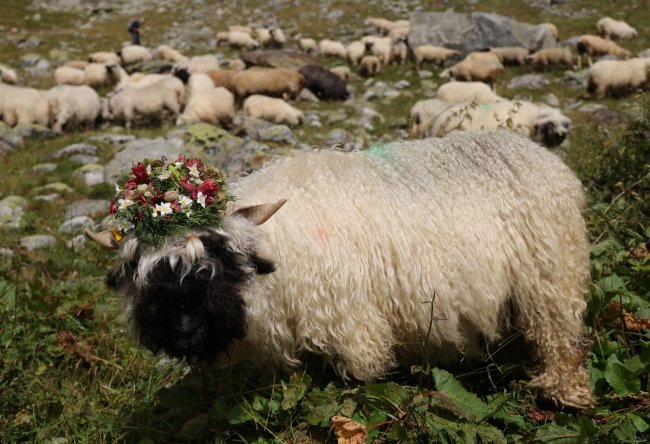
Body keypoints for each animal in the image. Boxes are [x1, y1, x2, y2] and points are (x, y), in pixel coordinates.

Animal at [95, 129, 592, 410]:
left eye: (218, 258)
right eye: (141, 274)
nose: (183, 332)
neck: (281, 247)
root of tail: (533, 150)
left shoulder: (351, 325)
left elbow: (355, 380)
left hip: (550, 277)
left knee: (559, 339)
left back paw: (565, 396)